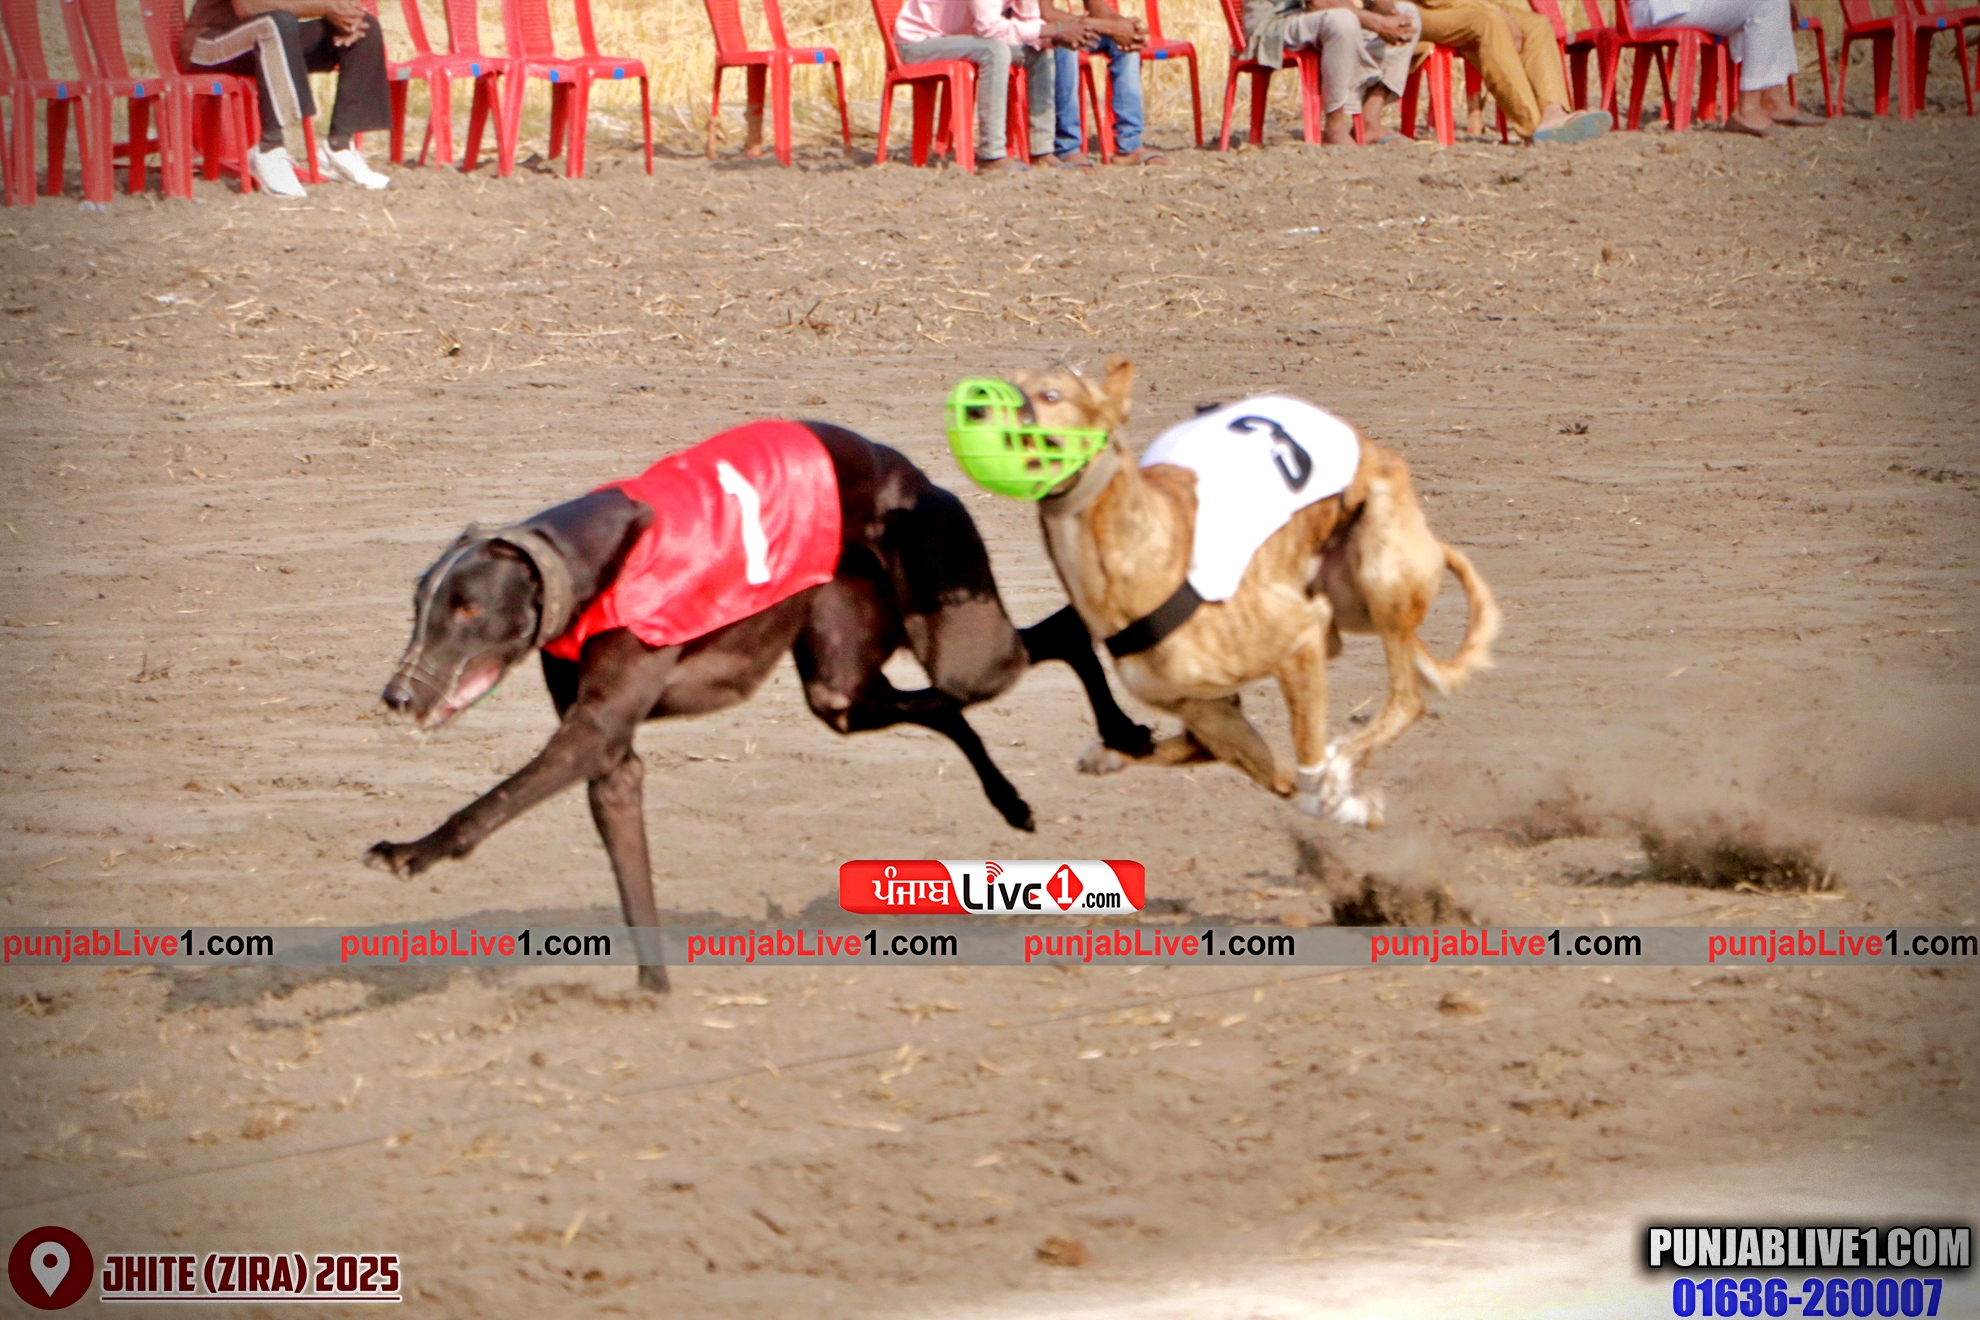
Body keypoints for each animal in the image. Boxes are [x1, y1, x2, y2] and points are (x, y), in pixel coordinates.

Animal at [366, 418, 1154, 991]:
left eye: (468, 609)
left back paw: (1121, 734)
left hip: (959, 632)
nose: (397, 696)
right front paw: (653, 996)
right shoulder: (610, 756)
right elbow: (629, 863)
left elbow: (488, 806)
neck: (591, 558)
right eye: (418, 602)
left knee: (1058, 633)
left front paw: (408, 851)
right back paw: (1013, 800)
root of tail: (915, 475)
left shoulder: (592, 730)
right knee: (935, 706)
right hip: (842, 677)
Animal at [952, 359, 1498, 827]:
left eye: (1051, 395)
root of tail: (1371, 446)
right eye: (1012, 381)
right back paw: (1109, 753)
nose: (973, 406)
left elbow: (1306, 763)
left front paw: (1340, 793)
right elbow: (1271, 774)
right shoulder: (1205, 706)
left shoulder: (1301, 637)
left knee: (1408, 701)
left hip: (1378, 577)